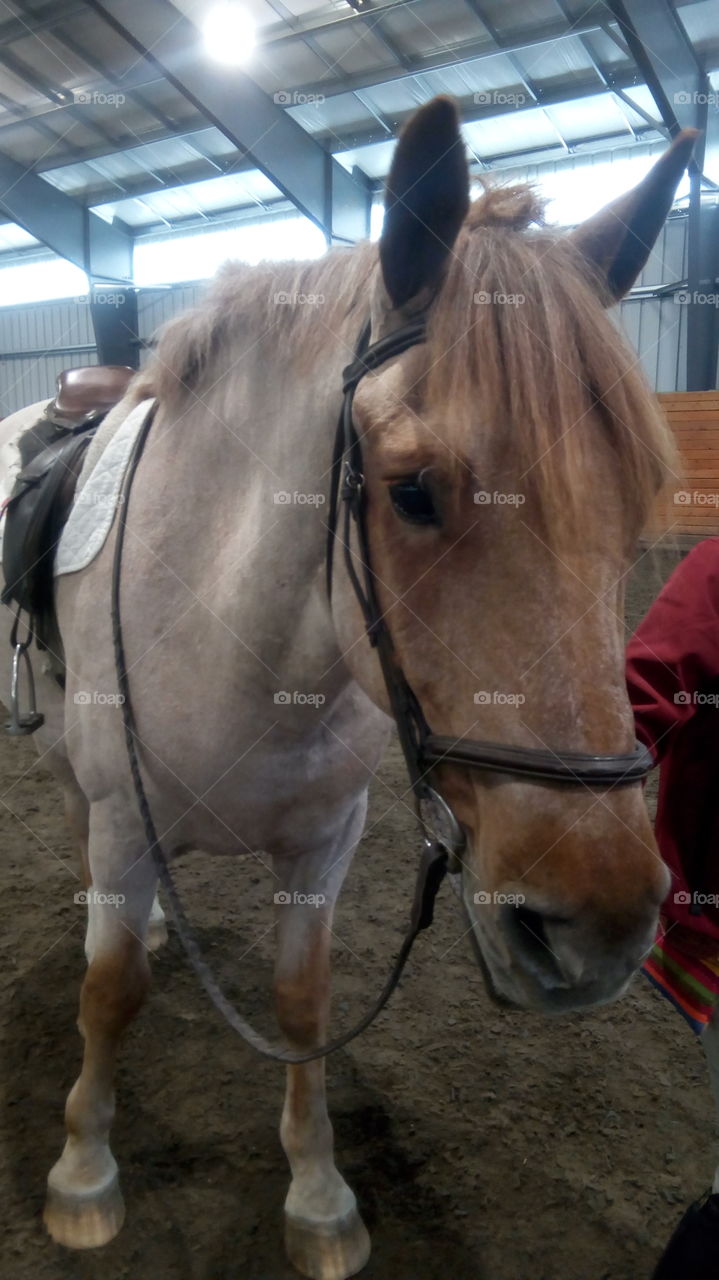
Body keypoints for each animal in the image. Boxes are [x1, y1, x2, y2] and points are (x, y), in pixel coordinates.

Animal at [0, 98, 694, 1280]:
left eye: (639, 492)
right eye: (411, 491)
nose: (596, 929)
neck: (239, 639)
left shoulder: (323, 842)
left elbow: (303, 1002)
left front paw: (319, 1195)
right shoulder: (128, 823)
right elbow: (108, 993)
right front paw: (84, 1173)